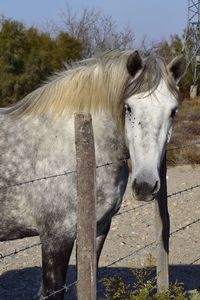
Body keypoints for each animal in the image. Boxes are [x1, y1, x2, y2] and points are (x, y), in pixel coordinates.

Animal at [0, 50, 186, 298]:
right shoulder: (56, 236)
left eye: (173, 111)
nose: (145, 185)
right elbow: (53, 290)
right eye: (128, 107)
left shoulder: (98, 228)